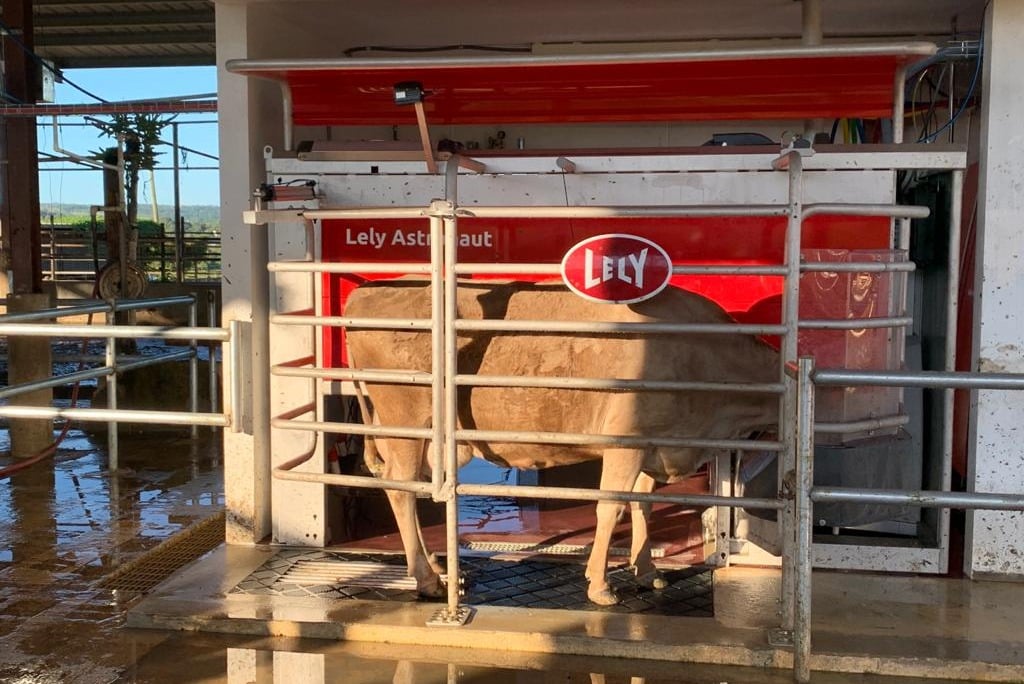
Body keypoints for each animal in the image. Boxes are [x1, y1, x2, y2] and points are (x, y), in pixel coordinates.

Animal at [344, 276, 774, 602]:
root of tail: (366, 292)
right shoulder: (626, 442)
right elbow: (611, 507)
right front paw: (600, 584)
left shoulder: (655, 445)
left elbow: (642, 506)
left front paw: (646, 569)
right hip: (404, 417)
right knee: (400, 488)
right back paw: (428, 580)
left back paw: (435, 566)